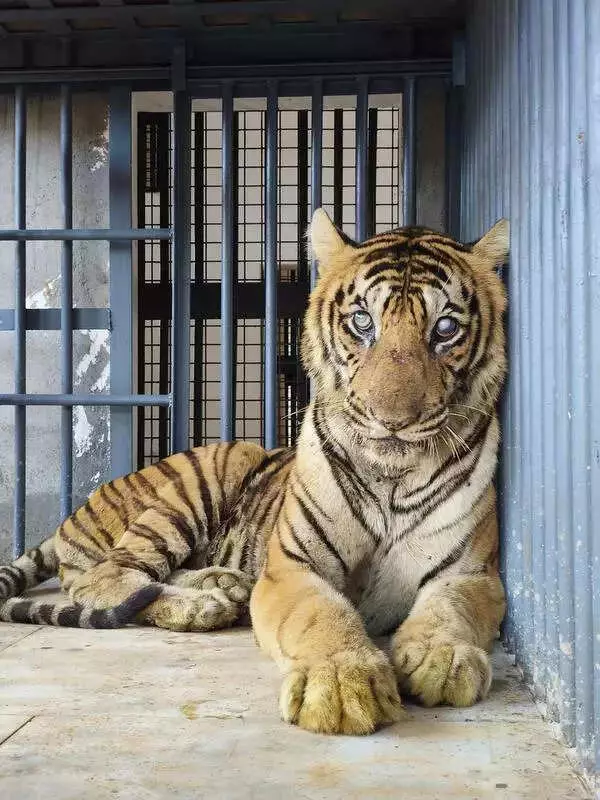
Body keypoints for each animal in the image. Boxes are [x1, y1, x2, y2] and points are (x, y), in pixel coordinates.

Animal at [0, 208, 509, 736]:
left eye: (445, 329)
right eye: (362, 321)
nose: (391, 420)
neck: (390, 478)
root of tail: (71, 517)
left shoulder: (471, 572)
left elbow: (451, 609)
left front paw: (441, 658)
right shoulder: (293, 569)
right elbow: (321, 615)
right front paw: (340, 685)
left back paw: (222, 585)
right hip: (190, 492)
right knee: (104, 579)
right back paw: (200, 605)